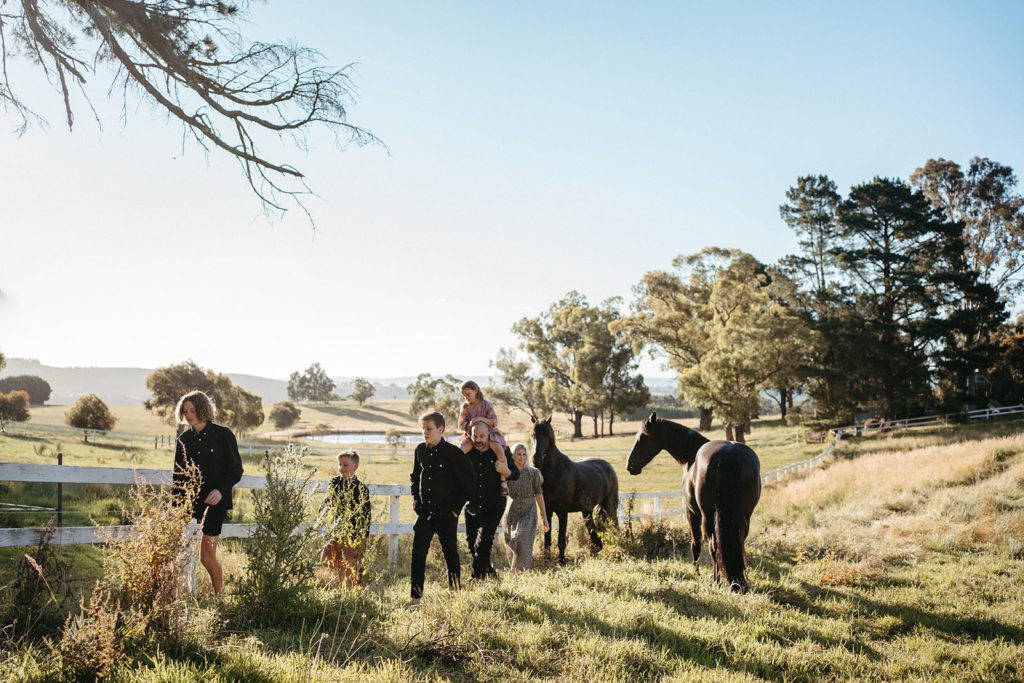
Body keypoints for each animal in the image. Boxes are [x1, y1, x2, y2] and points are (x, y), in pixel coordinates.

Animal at [532, 413, 618, 565]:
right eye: (533, 434)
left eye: (546, 435)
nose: (536, 460)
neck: (554, 473)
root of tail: (608, 466)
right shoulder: (546, 512)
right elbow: (547, 539)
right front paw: (547, 560)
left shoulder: (562, 512)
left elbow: (561, 539)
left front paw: (561, 562)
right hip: (587, 511)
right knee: (593, 532)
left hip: (610, 505)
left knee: (614, 525)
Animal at [622, 411, 761, 593]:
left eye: (642, 437)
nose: (629, 466)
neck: (691, 458)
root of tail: (729, 455)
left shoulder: (691, 512)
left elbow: (695, 544)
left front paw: (696, 572)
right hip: (744, 516)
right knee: (739, 543)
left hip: (708, 516)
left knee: (713, 545)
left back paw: (716, 580)